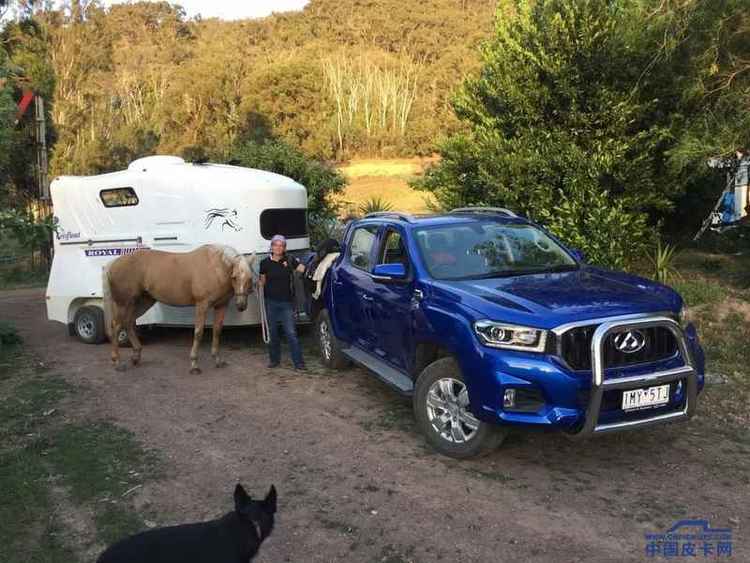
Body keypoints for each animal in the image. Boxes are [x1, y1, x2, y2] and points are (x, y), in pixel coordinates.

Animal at [101, 246, 258, 374]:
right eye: (234, 277)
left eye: (250, 278)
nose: (241, 306)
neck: (215, 267)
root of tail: (112, 264)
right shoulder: (202, 305)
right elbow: (198, 333)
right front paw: (194, 365)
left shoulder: (221, 306)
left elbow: (217, 331)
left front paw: (217, 360)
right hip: (124, 303)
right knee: (116, 326)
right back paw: (117, 362)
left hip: (142, 302)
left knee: (128, 323)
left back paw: (136, 356)